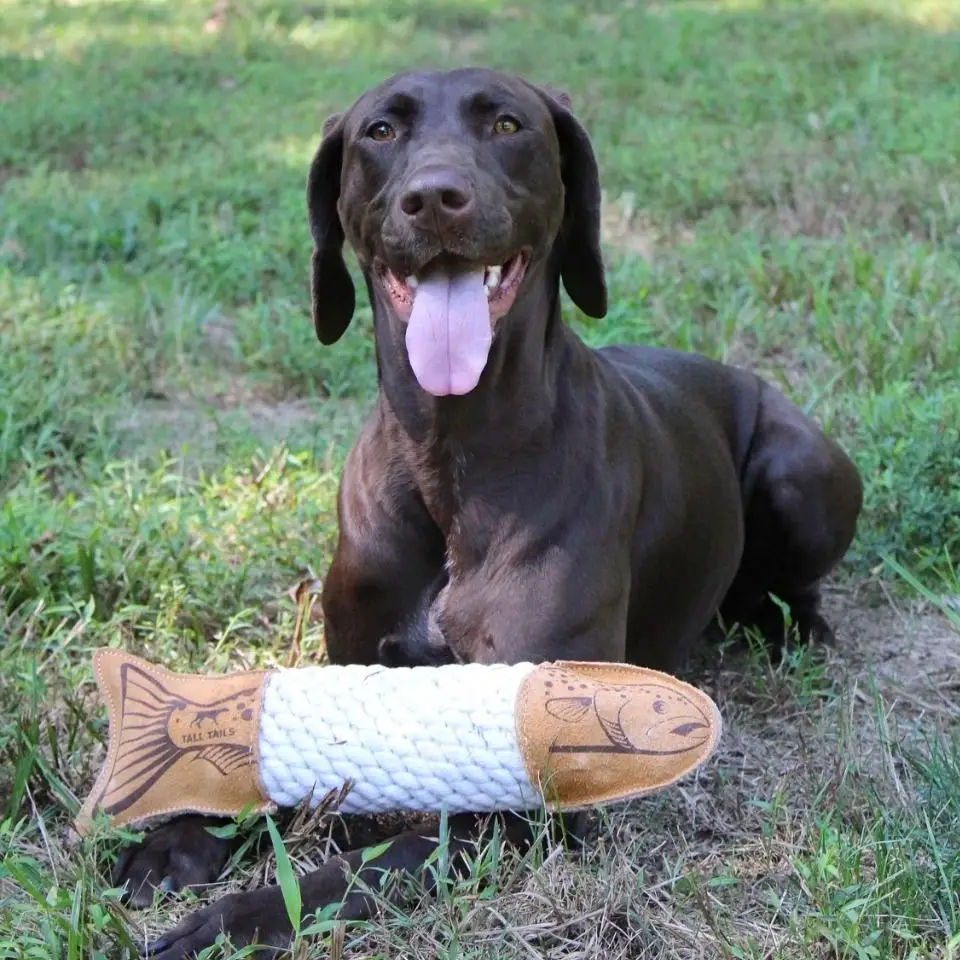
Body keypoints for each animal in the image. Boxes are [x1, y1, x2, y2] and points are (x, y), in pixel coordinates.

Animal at [129, 69, 864, 960]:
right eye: (380, 131)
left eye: (508, 124)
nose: (434, 199)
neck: (453, 452)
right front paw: (176, 839)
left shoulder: (525, 799)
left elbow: (368, 866)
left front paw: (234, 919)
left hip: (796, 474)